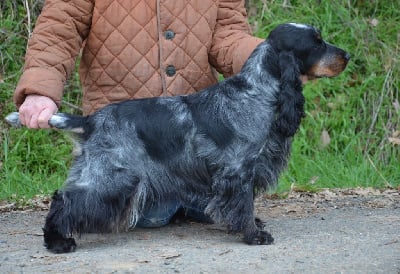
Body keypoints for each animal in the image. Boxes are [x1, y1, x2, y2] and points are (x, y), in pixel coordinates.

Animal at [6, 23, 350, 253]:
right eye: (317, 44)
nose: (346, 54)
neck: (256, 91)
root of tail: (90, 121)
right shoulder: (238, 170)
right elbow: (242, 204)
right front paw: (254, 234)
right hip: (114, 178)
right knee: (65, 200)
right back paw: (58, 242)